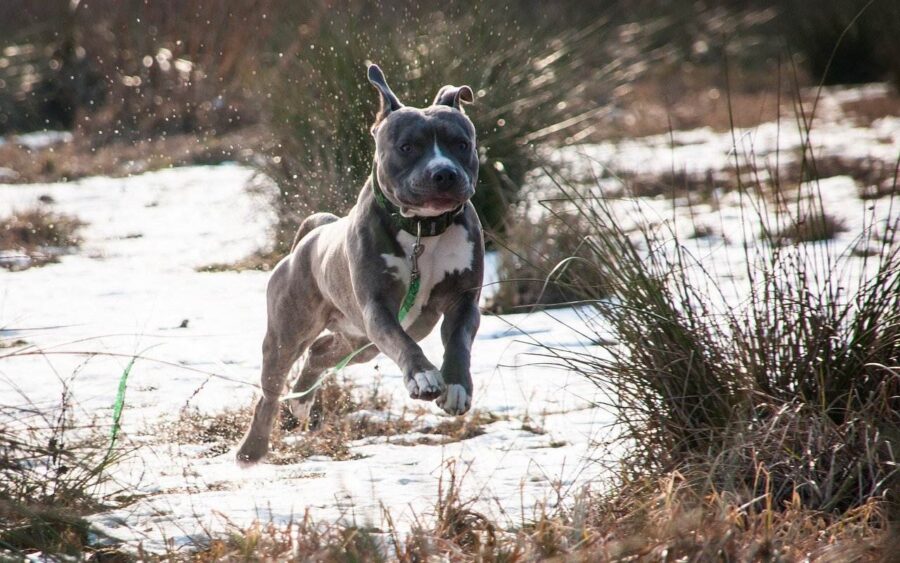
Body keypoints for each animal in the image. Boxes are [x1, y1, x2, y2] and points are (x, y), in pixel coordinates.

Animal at [236, 64, 482, 464]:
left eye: (461, 144)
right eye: (407, 147)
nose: (444, 172)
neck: (422, 230)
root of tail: (310, 238)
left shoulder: (464, 300)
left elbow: (459, 341)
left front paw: (457, 386)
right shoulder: (378, 308)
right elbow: (402, 344)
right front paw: (423, 376)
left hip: (361, 341)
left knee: (320, 353)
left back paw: (302, 402)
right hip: (289, 333)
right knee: (270, 392)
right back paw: (252, 449)